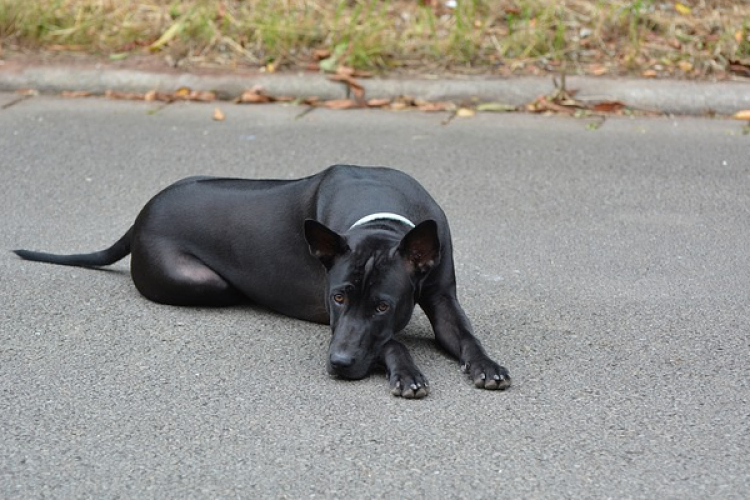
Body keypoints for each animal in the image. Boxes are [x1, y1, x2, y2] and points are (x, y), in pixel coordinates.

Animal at [14, 165, 512, 398]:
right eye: (337, 298)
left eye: (384, 305)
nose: (338, 363)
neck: (382, 221)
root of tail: (139, 217)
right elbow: (391, 341)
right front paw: (406, 371)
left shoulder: (442, 298)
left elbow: (465, 335)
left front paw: (487, 365)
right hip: (205, 283)